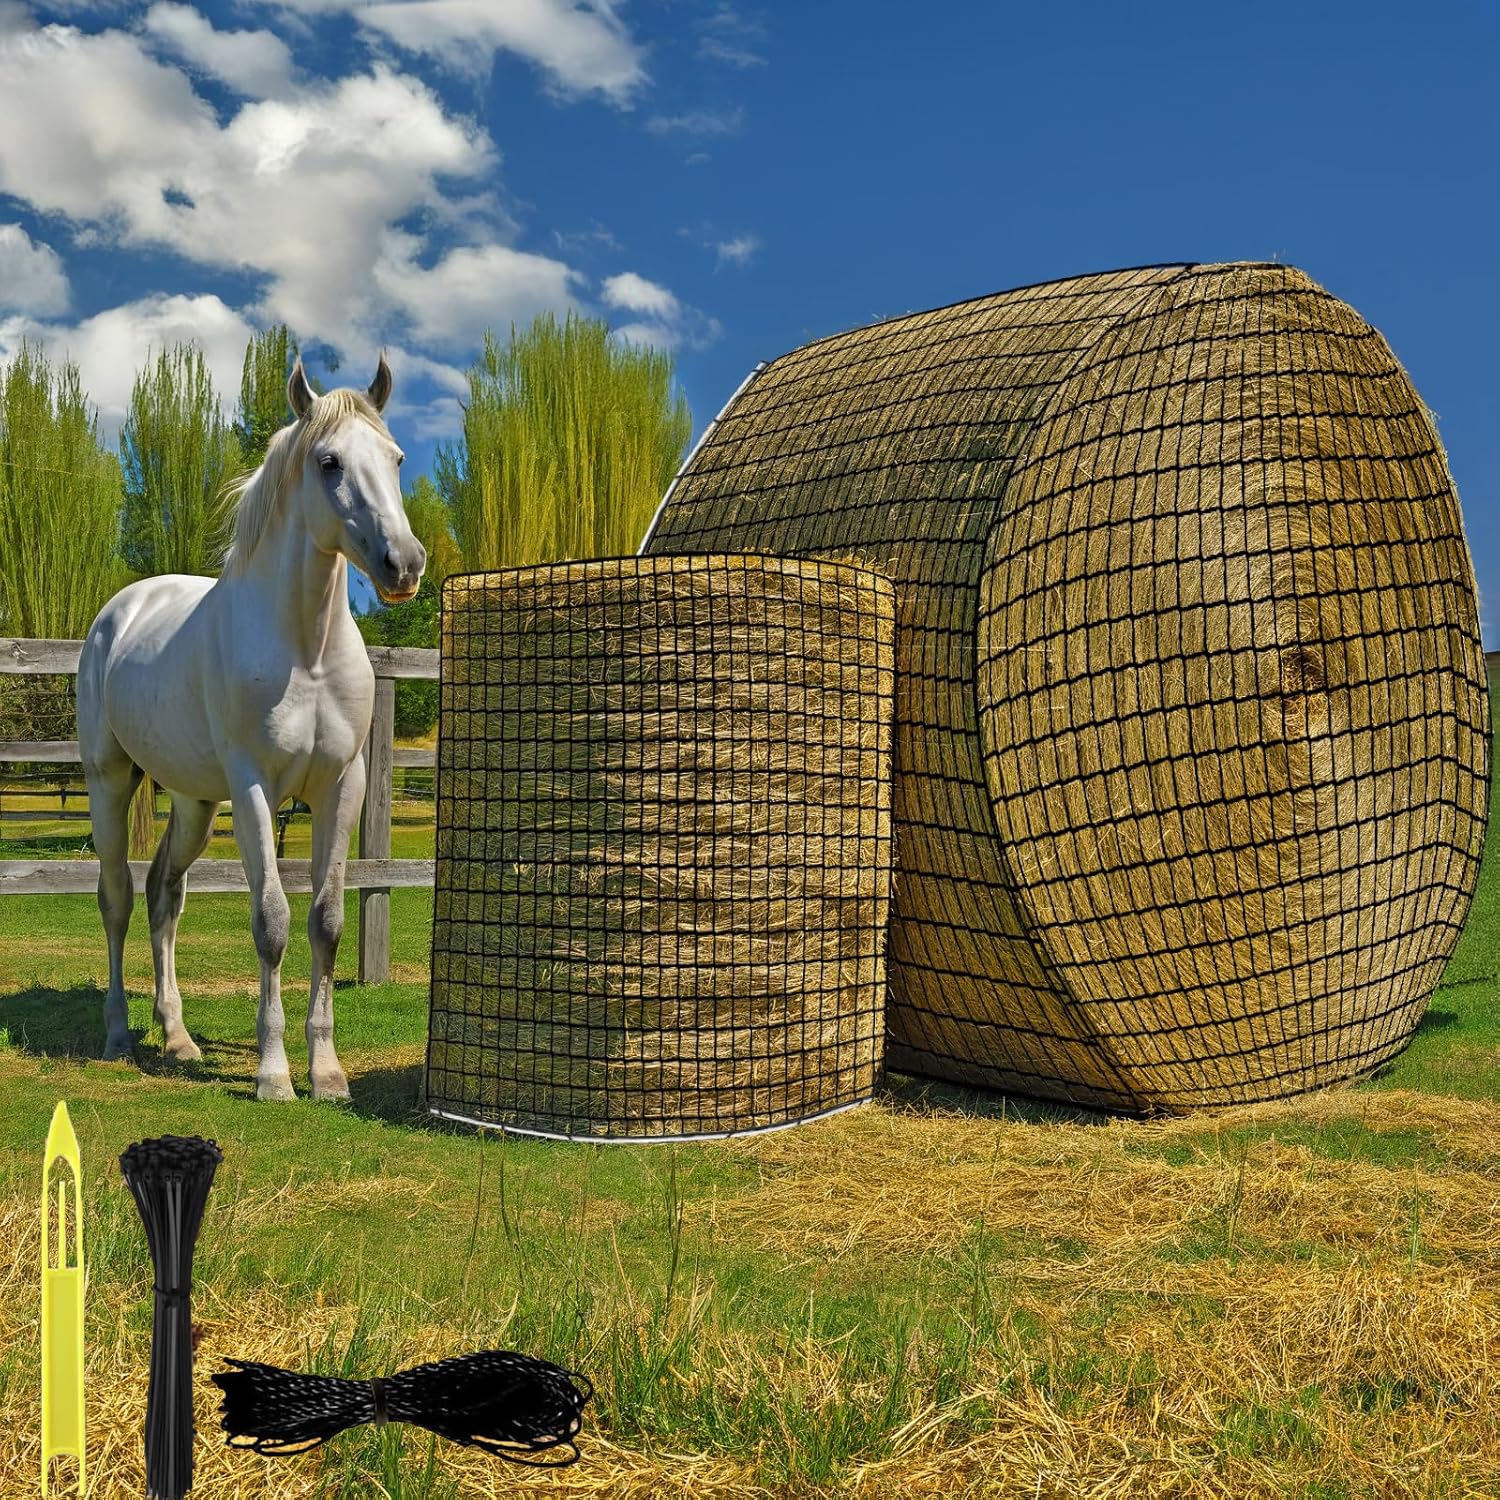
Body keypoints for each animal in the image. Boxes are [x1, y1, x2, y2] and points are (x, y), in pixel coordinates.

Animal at [76, 355, 425, 1101]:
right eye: (328, 462)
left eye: (396, 458)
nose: (404, 565)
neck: (306, 650)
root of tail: (120, 611)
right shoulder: (255, 789)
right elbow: (271, 922)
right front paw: (273, 1075)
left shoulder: (341, 787)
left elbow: (326, 921)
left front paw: (327, 1072)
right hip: (110, 782)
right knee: (118, 898)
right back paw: (119, 1035)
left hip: (194, 803)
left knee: (164, 896)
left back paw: (177, 1038)